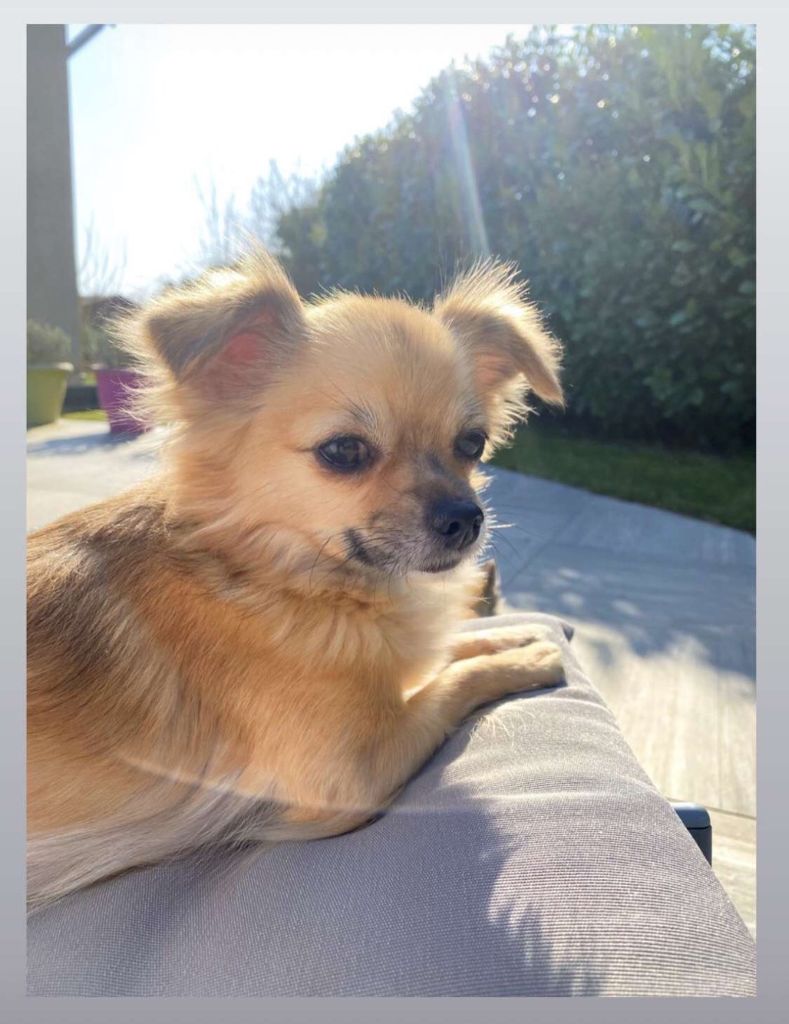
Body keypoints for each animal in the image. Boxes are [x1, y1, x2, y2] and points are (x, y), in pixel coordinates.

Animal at [27, 252, 564, 909]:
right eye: (344, 451)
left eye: (472, 443)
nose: (466, 518)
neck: (278, 577)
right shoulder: (354, 772)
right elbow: (452, 681)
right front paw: (526, 657)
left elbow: (451, 652)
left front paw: (513, 639)